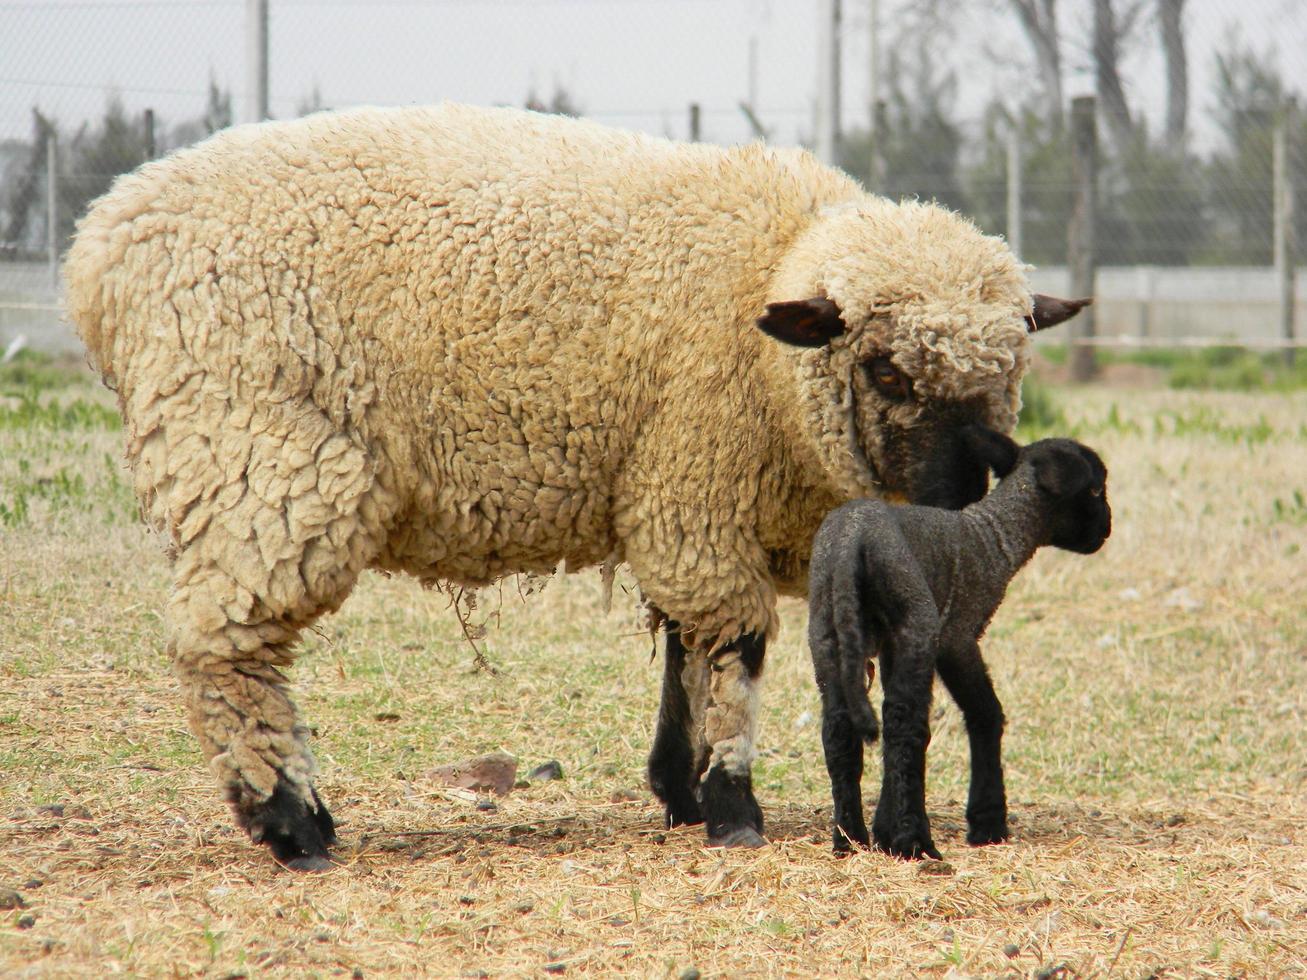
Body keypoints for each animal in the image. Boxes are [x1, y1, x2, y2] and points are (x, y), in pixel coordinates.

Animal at [810, 436, 1108, 857]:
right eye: (1095, 489)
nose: (1106, 530)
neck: (994, 538)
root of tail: (852, 541)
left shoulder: (892, 644)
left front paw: (883, 829)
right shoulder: (956, 636)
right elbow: (986, 713)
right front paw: (988, 822)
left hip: (827, 631)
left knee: (839, 732)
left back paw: (848, 840)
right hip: (916, 619)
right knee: (905, 726)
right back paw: (915, 842)